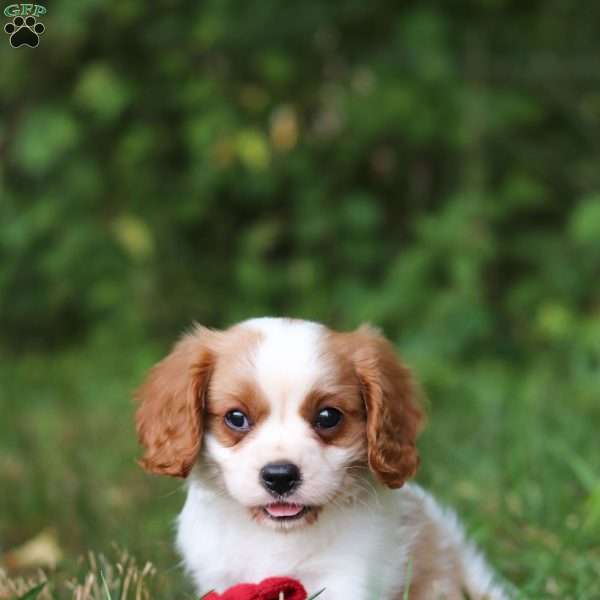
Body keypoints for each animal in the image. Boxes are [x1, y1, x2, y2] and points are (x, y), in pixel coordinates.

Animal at [135, 316, 506, 596]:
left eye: (328, 417)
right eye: (236, 418)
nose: (280, 476)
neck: (278, 537)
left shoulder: (349, 577)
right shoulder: (221, 577)